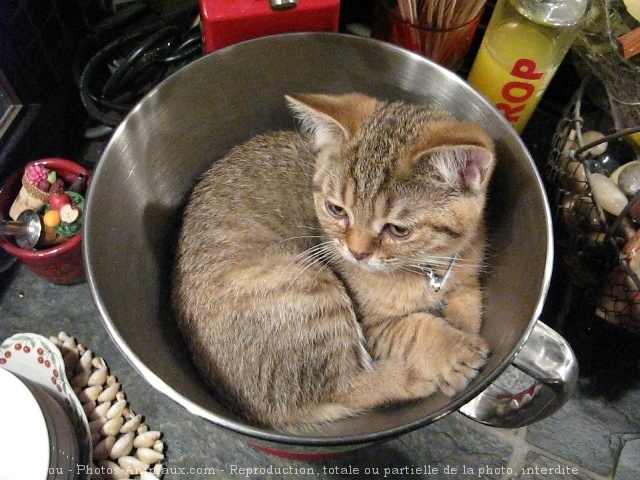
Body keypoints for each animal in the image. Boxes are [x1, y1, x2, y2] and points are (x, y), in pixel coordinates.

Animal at [171, 92, 496, 430]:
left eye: (398, 230)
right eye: (336, 210)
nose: (357, 253)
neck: (428, 266)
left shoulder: (467, 269)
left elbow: (467, 298)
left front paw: (461, 324)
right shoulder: (373, 328)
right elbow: (415, 327)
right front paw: (453, 350)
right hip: (308, 289)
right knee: (344, 386)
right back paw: (407, 377)